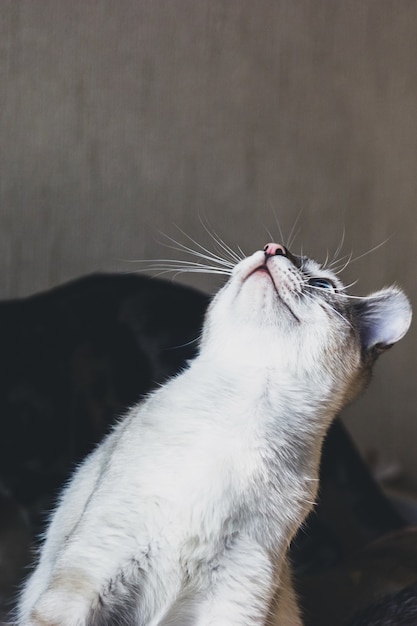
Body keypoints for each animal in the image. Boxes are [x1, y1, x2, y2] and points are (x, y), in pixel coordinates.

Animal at [16, 241, 410, 620]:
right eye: (271, 248)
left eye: (324, 285)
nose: (273, 248)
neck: (243, 411)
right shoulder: (95, 570)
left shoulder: (233, 596)